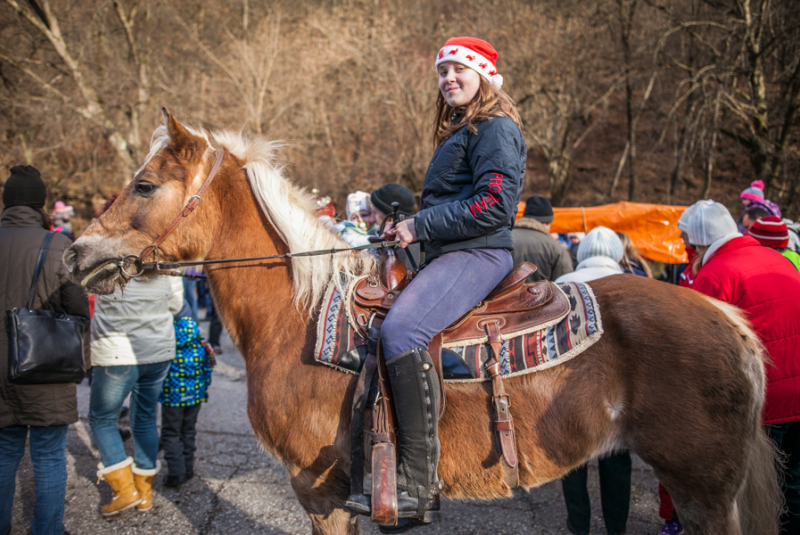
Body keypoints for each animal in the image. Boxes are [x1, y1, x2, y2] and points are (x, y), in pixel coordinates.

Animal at [64, 111, 780, 532]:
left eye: (145, 184)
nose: (77, 252)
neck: (299, 316)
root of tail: (728, 320)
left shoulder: (319, 490)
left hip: (701, 490)